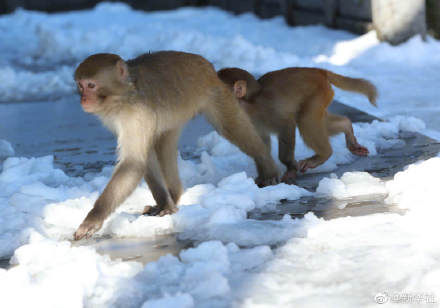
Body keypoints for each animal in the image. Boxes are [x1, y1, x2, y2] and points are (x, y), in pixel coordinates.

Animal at [73, 51, 278, 241]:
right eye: (80, 86)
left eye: (91, 85)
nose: (83, 99)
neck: (124, 94)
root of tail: (209, 67)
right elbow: (142, 159)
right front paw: (164, 204)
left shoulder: (136, 114)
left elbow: (133, 162)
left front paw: (92, 219)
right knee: (163, 144)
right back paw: (173, 194)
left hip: (216, 94)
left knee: (230, 127)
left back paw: (267, 164)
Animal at [218, 67, 376, 183]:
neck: (248, 106)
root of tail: (318, 71)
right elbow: (260, 143)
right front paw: (265, 176)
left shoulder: (268, 112)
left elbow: (287, 124)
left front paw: (289, 167)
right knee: (319, 121)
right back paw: (347, 126)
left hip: (318, 94)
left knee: (306, 121)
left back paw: (323, 155)